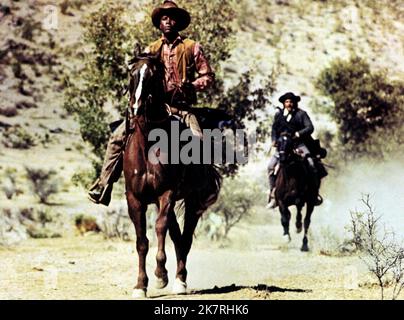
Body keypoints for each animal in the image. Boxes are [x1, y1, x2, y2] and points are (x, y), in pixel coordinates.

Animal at [124, 54, 223, 298]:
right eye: (132, 74)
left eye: (152, 76)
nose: (136, 107)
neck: (148, 145)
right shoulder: (134, 199)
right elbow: (142, 241)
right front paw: (140, 285)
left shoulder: (166, 193)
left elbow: (160, 228)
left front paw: (160, 275)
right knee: (177, 236)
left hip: (192, 200)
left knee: (184, 238)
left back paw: (180, 281)